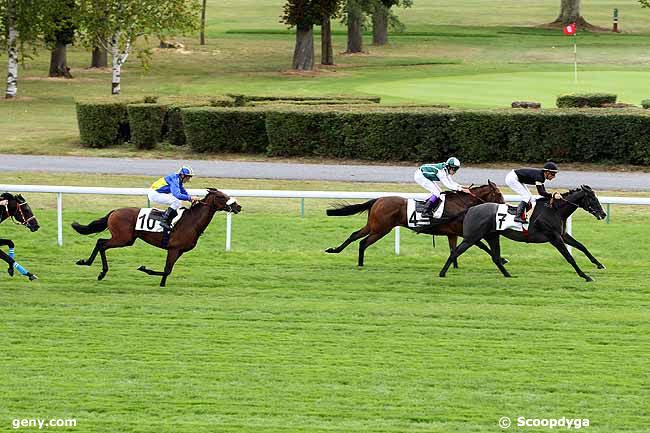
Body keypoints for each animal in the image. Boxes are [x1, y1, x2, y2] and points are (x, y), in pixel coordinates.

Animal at [73, 187, 240, 286]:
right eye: (222, 197)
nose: (238, 206)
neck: (191, 221)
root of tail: (114, 211)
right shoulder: (173, 248)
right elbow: (167, 269)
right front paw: (145, 269)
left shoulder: (179, 251)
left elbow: (168, 270)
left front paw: (161, 283)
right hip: (123, 238)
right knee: (101, 243)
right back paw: (99, 270)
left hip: (126, 239)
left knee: (100, 241)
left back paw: (88, 263)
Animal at [322, 181, 502, 264]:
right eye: (499, 195)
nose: (505, 206)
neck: (460, 204)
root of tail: (377, 200)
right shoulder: (460, 231)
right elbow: (481, 245)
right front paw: (501, 260)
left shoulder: (452, 233)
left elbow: (454, 250)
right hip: (381, 229)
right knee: (363, 242)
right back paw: (360, 263)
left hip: (373, 225)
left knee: (354, 236)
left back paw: (335, 250)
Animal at [438, 185, 604, 280]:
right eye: (592, 199)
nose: (603, 214)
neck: (554, 210)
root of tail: (470, 209)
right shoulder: (554, 237)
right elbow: (570, 257)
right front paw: (586, 276)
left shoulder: (562, 235)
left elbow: (581, 246)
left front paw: (599, 264)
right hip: (472, 237)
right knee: (455, 252)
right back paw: (442, 273)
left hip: (492, 236)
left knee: (496, 258)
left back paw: (508, 275)